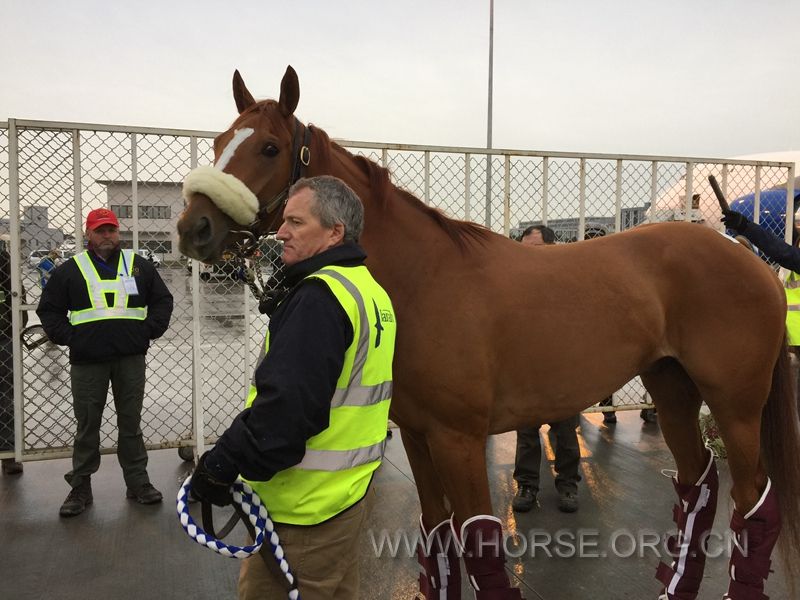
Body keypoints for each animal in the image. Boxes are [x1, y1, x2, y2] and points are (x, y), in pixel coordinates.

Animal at [177, 67, 800, 600]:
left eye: (269, 147)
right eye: (218, 142)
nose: (193, 228)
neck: (425, 279)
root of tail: (753, 263)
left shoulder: (458, 440)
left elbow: (478, 540)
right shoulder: (418, 436)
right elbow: (436, 535)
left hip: (735, 406)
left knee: (754, 503)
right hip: (671, 390)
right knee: (698, 484)